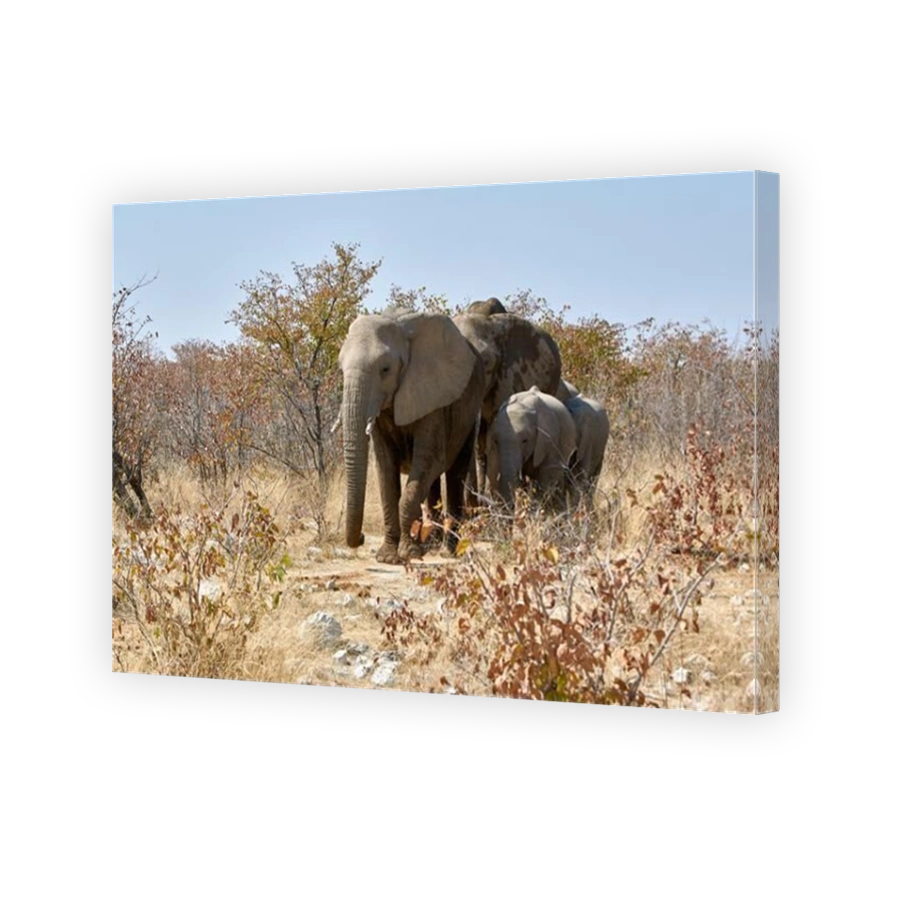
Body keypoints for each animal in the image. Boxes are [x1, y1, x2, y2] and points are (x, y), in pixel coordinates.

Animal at [338, 307, 485, 565]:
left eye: (385, 369)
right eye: (340, 368)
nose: (363, 537)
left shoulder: (432, 396)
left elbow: (428, 461)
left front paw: (408, 553)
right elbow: (385, 469)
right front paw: (387, 557)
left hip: (469, 414)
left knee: (454, 473)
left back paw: (447, 551)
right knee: (433, 483)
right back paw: (431, 545)